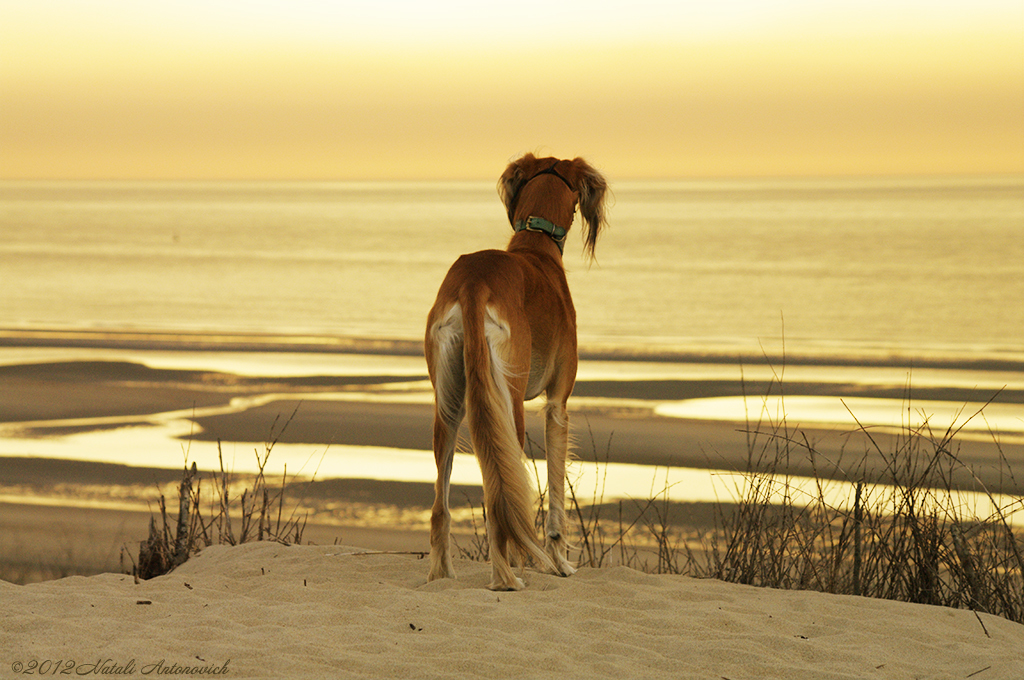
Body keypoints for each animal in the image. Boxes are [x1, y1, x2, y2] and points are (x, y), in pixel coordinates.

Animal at [423, 153, 606, 589]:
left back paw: (443, 577)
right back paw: (506, 578)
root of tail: (472, 284)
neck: (535, 247)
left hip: (448, 406)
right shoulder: (557, 404)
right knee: (499, 499)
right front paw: (559, 563)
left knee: (441, 507)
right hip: (511, 406)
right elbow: (555, 492)